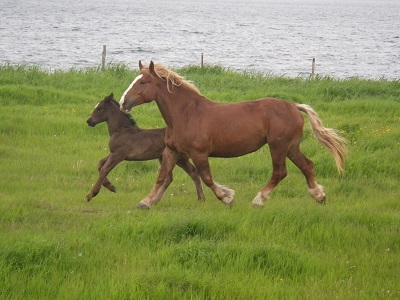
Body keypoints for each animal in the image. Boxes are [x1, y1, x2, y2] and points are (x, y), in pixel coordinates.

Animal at [119, 61, 346, 209]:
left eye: (143, 82)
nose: (123, 103)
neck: (186, 114)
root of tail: (294, 106)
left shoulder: (199, 153)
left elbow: (207, 178)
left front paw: (228, 197)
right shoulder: (171, 151)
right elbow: (162, 176)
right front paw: (145, 202)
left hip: (278, 147)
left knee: (280, 172)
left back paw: (259, 200)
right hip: (291, 147)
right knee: (307, 165)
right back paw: (319, 196)